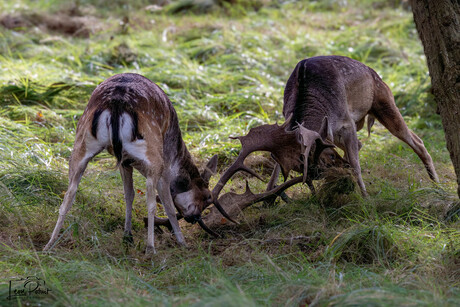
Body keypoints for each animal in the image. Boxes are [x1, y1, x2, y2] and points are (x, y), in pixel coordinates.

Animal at [42, 73, 234, 254]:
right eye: (205, 196)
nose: (195, 218)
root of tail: (116, 103)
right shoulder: (164, 167)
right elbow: (168, 204)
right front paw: (182, 243)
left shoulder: (125, 162)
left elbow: (129, 194)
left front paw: (127, 236)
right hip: (153, 152)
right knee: (151, 201)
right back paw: (151, 248)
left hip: (80, 143)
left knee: (69, 194)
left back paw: (49, 245)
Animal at [210, 56, 440, 217]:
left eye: (327, 157)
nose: (340, 169)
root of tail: (374, 72)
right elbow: (277, 163)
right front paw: (268, 199)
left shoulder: (347, 123)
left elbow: (357, 164)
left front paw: (366, 200)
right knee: (363, 144)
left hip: (385, 102)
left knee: (418, 142)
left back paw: (437, 186)